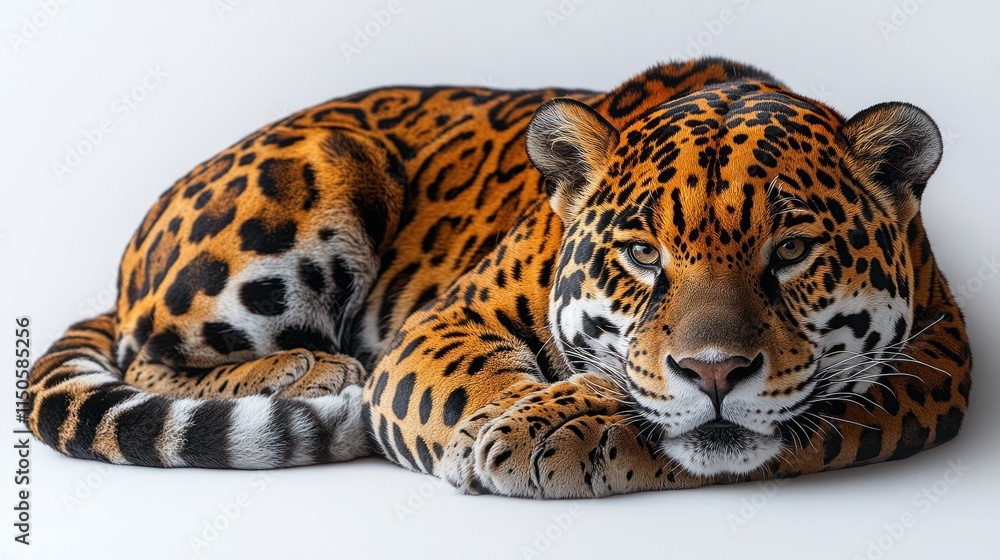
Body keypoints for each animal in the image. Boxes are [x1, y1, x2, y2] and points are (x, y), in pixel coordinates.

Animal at [27, 57, 972, 498]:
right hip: (325, 162)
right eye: (643, 255)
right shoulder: (442, 324)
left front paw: (560, 426)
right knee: (147, 353)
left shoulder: (936, 363)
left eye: (791, 251)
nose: (713, 373)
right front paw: (519, 425)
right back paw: (312, 370)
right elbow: (472, 382)